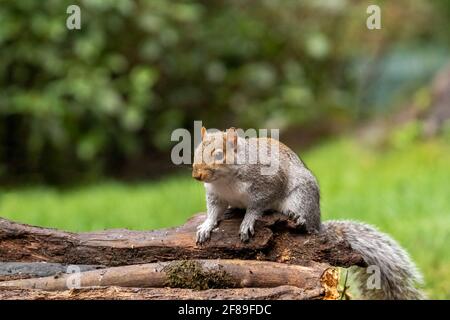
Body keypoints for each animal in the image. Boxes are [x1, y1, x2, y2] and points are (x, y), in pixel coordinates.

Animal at [192, 126, 426, 298]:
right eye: (195, 151)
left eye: (219, 154)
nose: (196, 175)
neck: (225, 181)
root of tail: (318, 223)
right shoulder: (214, 195)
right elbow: (213, 211)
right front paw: (206, 226)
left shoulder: (267, 184)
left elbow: (257, 206)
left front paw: (247, 221)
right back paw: (232, 212)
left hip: (301, 197)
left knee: (304, 223)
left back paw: (298, 219)